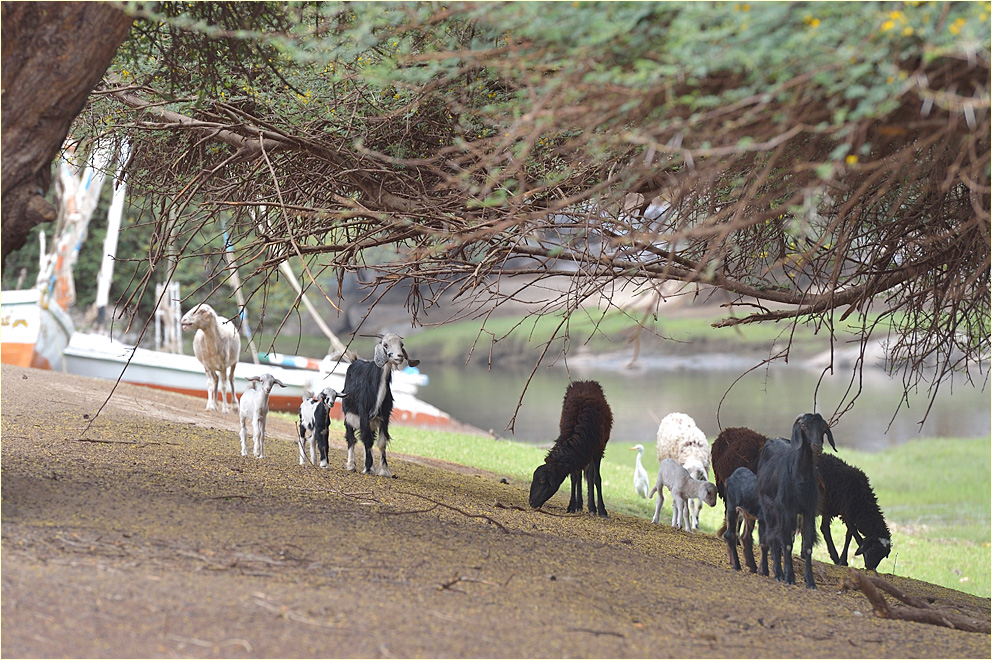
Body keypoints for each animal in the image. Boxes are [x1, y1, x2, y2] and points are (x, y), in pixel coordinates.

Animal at [342, 333, 419, 477]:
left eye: (401, 345)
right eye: (385, 345)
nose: (399, 356)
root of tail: (354, 361)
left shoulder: (385, 416)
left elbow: (381, 442)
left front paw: (383, 470)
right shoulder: (363, 413)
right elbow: (366, 439)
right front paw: (368, 468)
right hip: (348, 414)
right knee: (351, 438)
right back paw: (351, 465)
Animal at [529, 380, 613, 517]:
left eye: (542, 480)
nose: (531, 503)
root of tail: (584, 381)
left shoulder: (598, 450)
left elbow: (596, 478)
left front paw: (601, 510)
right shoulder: (578, 454)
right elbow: (574, 478)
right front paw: (572, 506)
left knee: (590, 476)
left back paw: (592, 507)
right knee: (579, 476)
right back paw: (580, 505)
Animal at [756, 412, 834, 588]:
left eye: (823, 428)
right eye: (803, 426)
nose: (817, 446)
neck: (800, 479)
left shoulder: (808, 510)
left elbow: (807, 547)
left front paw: (810, 582)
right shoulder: (786, 509)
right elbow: (786, 544)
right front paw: (789, 577)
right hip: (769, 508)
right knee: (773, 539)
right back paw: (778, 574)